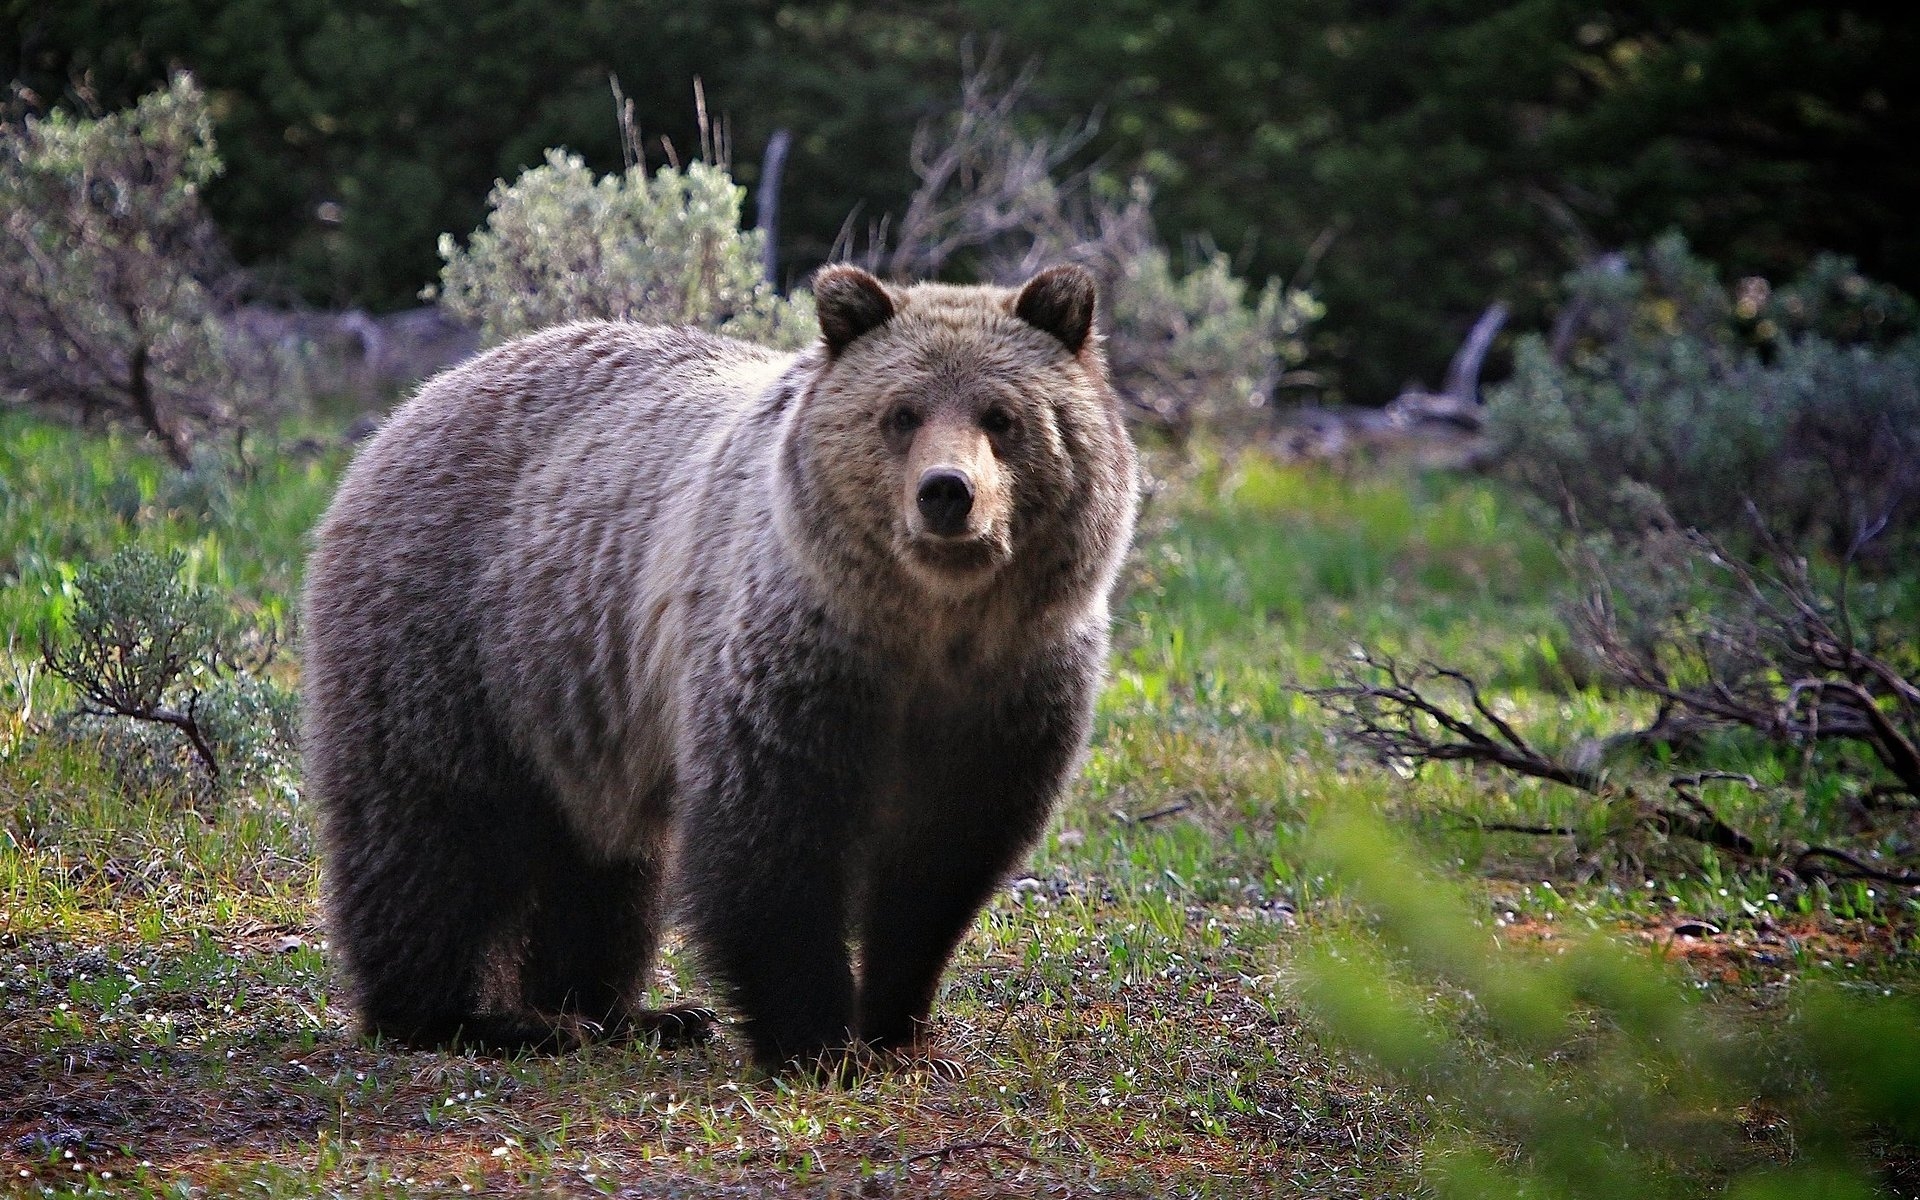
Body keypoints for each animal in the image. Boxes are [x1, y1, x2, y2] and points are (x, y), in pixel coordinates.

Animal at [301, 261, 1136, 1067]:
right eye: (902, 413)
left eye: (1002, 416)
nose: (947, 493)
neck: (928, 626)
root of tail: (415, 402)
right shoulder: (791, 658)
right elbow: (772, 843)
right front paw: (817, 1040)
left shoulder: (1011, 686)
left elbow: (942, 865)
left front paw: (901, 1031)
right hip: (455, 638)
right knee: (431, 833)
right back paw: (471, 1019)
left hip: (581, 710)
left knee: (606, 867)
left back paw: (623, 1013)